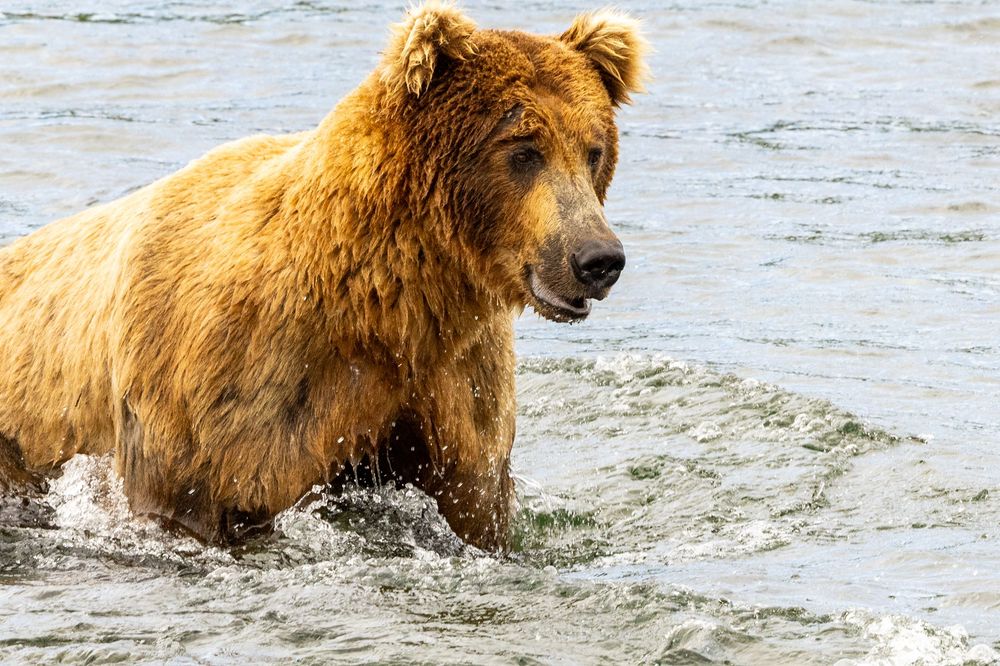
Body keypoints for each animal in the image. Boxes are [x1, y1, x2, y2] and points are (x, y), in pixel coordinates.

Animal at [0, 2, 647, 552]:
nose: (598, 258)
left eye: (593, 149)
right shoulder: (235, 391)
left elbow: (475, 499)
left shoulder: (455, 382)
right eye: (523, 149)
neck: (387, 300)